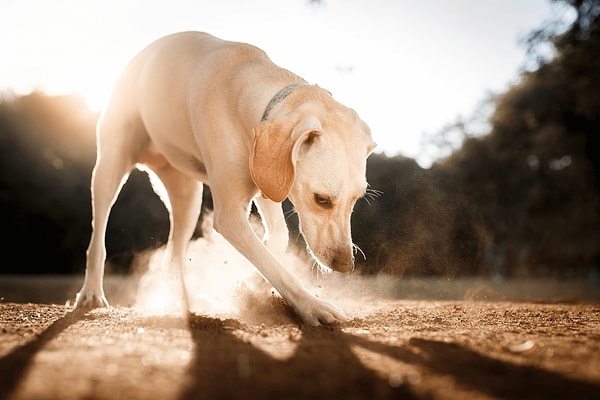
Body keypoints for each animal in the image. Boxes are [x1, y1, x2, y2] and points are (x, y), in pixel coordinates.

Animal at [75, 31, 376, 324]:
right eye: (321, 199)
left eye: (357, 199)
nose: (345, 266)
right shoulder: (230, 216)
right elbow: (273, 264)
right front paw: (312, 306)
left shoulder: (266, 182)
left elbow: (276, 241)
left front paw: (248, 284)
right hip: (108, 170)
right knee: (98, 238)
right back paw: (91, 293)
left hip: (188, 199)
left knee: (173, 254)